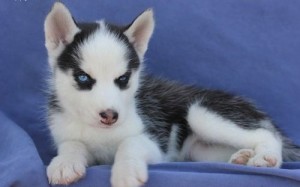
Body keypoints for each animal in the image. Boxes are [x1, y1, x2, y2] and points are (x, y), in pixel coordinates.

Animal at [44, 1, 300, 187]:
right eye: (83, 78)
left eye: (123, 79)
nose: (109, 116)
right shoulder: (68, 134)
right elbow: (72, 144)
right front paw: (65, 163)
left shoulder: (156, 141)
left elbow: (130, 143)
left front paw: (126, 172)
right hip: (202, 151)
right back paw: (243, 157)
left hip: (201, 112)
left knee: (267, 135)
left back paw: (266, 156)